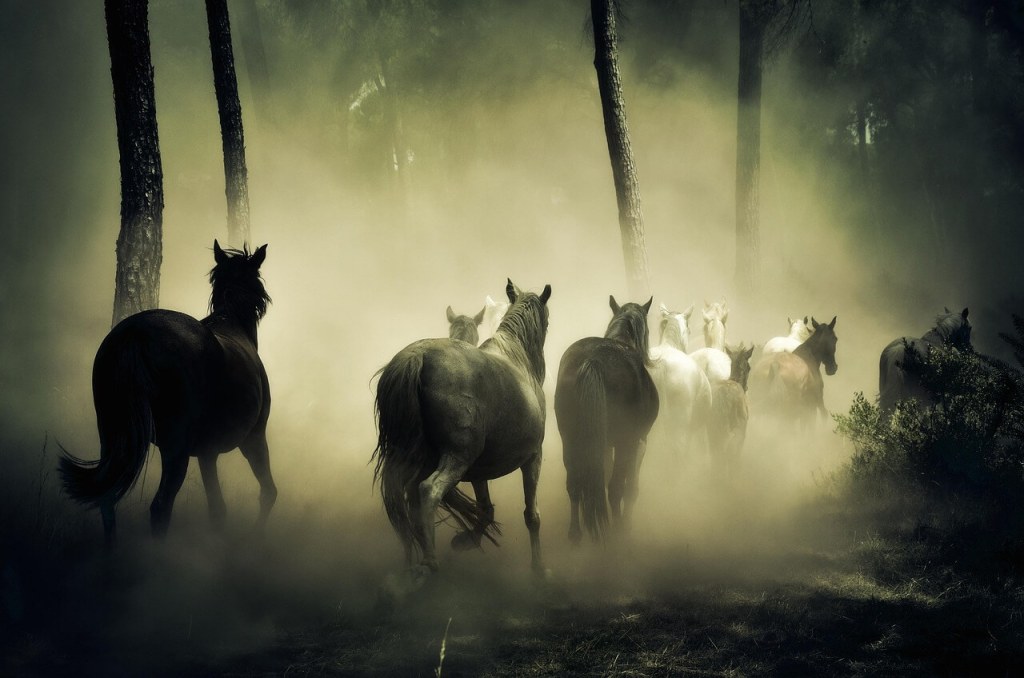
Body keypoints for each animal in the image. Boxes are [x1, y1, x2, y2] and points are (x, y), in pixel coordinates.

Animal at [59, 241, 277, 544]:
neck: (231, 322)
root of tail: (135, 332)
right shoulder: (253, 439)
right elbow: (267, 493)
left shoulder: (208, 453)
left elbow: (218, 510)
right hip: (177, 448)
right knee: (160, 507)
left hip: (112, 437)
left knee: (107, 501)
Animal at [373, 279, 551, 577]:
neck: (517, 358)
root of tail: (416, 357)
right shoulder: (532, 457)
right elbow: (532, 516)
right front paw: (539, 570)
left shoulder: (479, 469)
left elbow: (485, 509)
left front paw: (465, 540)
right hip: (457, 458)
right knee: (427, 491)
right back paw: (429, 562)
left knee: (400, 503)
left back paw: (409, 565)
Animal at [554, 296, 659, 543]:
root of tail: (593, 360)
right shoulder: (638, 442)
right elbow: (630, 488)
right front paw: (627, 524)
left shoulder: (603, 445)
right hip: (624, 442)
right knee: (615, 489)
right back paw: (617, 532)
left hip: (570, 438)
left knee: (574, 483)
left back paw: (576, 533)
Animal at [707, 343, 754, 475]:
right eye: (749, 367)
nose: (747, 387)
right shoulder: (742, 430)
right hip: (734, 430)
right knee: (728, 454)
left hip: (713, 430)